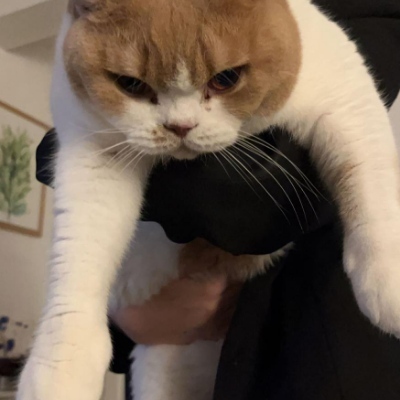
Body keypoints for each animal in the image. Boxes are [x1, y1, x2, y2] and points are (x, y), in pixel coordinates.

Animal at [17, 0, 400, 400]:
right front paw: (60, 370)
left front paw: (388, 283)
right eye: (131, 84)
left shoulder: (342, 97)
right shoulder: (95, 158)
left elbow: (367, 174)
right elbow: (78, 257)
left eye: (227, 78)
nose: (180, 127)